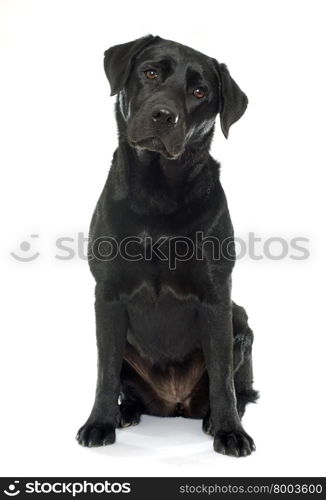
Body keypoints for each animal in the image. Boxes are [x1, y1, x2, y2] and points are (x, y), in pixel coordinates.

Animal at [76, 36, 258, 458]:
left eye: (199, 92)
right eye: (150, 72)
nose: (163, 115)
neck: (157, 194)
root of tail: (174, 404)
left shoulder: (216, 295)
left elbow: (222, 378)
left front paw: (230, 431)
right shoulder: (107, 296)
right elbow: (105, 372)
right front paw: (99, 423)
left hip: (240, 321)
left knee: (239, 389)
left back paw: (214, 419)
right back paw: (125, 412)